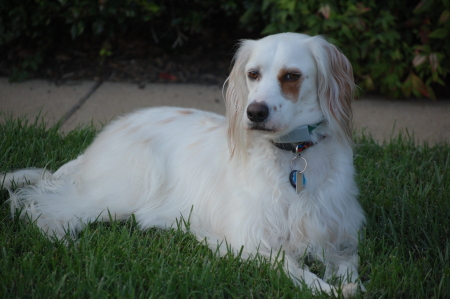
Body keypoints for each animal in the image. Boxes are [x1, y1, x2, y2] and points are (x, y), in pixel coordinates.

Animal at [2, 32, 366, 298]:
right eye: (253, 74)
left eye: (291, 76)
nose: (254, 112)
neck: (293, 153)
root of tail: (100, 141)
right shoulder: (251, 240)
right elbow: (296, 270)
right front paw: (329, 289)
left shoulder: (338, 232)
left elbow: (348, 263)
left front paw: (351, 284)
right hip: (119, 192)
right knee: (39, 203)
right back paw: (62, 239)